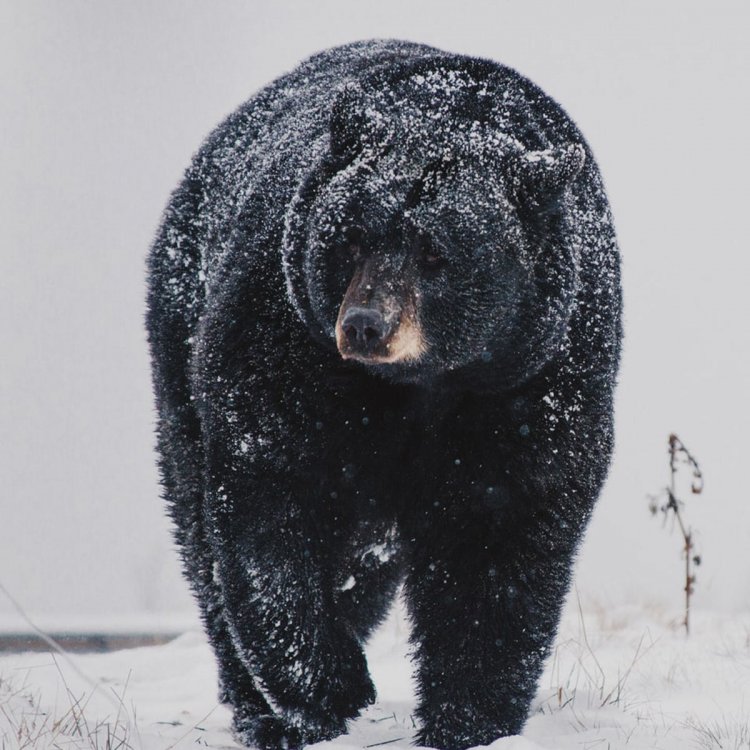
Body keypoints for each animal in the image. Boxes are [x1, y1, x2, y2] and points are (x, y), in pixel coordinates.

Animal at [146, 39, 622, 750]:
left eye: (437, 253)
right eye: (351, 237)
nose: (365, 325)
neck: (419, 387)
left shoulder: (533, 380)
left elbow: (498, 541)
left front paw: (468, 718)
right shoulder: (285, 346)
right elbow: (269, 499)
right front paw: (329, 689)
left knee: (365, 563)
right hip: (179, 333)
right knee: (202, 537)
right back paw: (260, 711)